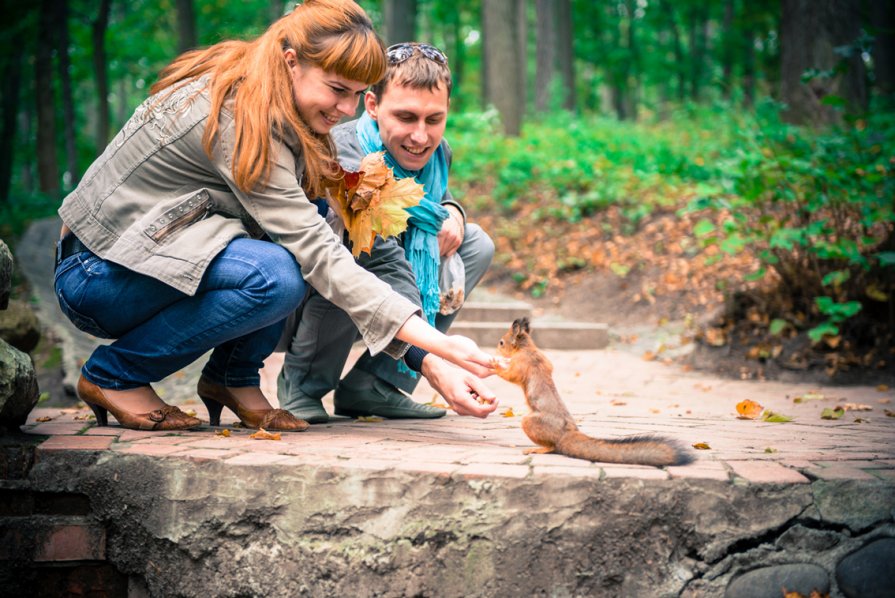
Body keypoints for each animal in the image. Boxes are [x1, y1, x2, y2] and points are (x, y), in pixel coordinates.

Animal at [490, 318, 692, 468]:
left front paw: (495, 365)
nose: (495, 349)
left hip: (531, 423)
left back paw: (538, 449)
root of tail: (567, 433)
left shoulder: (522, 364)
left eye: (501, 342)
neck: (527, 348)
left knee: (552, 447)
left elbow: (511, 375)